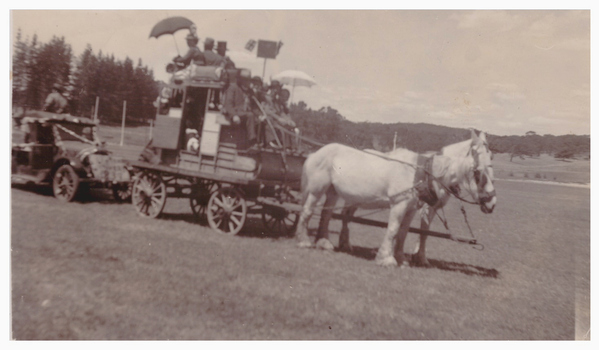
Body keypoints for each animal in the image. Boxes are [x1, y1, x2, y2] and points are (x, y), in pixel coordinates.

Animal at [296, 130, 496, 266]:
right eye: (478, 173)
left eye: (492, 162)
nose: (492, 203)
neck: (422, 173)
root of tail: (316, 152)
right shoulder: (400, 204)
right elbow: (393, 229)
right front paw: (386, 258)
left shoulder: (412, 208)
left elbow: (404, 232)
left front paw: (401, 258)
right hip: (316, 190)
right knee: (307, 212)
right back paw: (304, 241)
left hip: (335, 192)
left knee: (328, 215)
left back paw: (326, 242)